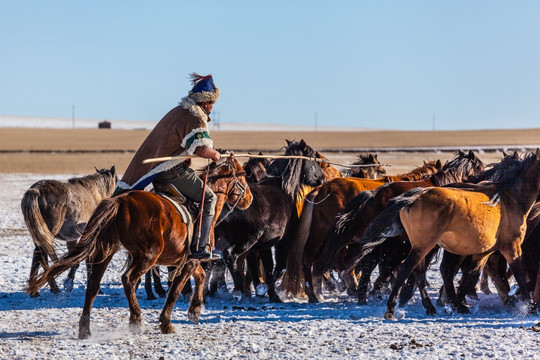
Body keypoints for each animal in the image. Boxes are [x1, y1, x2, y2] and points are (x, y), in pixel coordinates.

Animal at [22, 166, 118, 296]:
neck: (93, 193)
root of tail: (36, 190)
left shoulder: (71, 238)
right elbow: (84, 261)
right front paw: (70, 284)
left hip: (38, 234)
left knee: (38, 255)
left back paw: (36, 290)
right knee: (41, 255)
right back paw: (52, 288)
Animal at [354, 150, 540, 320]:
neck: (510, 199)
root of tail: (413, 198)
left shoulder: (483, 252)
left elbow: (471, 275)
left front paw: (458, 304)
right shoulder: (511, 247)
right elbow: (519, 274)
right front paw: (528, 306)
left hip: (423, 246)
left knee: (419, 273)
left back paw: (429, 307)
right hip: (423, 246)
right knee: (406, 269)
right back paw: (391, 309)